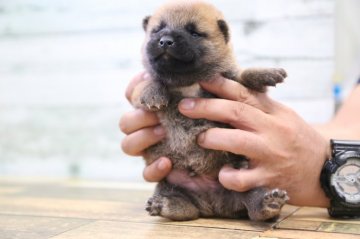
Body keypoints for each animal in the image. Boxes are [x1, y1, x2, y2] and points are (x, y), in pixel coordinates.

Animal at [131, 0, 288, 221]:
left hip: (243, 181)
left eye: (194, 33)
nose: (165, 41)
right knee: (186, 208)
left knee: (253, 200)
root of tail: (213, 207)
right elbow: (149, 82)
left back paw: (268, 203)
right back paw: (165, 204)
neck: (188, 82)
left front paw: (264, 73)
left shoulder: (230, 78)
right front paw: (154, 92)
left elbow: (242, 75)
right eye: (157, 30)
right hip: (170, 184)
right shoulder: (138, 94)